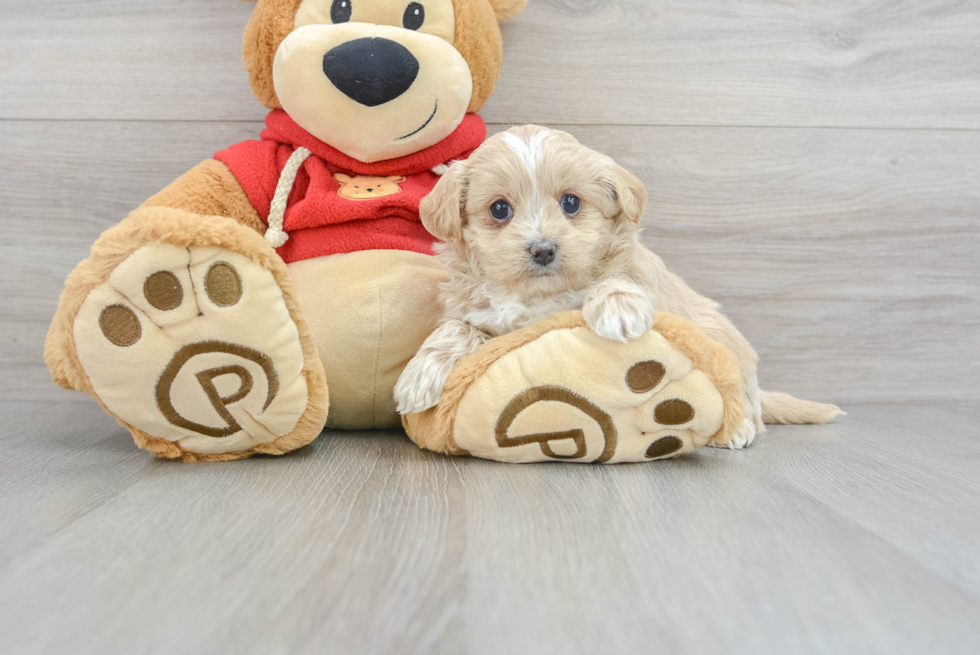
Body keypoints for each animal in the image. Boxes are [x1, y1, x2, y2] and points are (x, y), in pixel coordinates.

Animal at [394, 125, 840, 448]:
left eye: (571, 203)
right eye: (499, 209)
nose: (543, 249)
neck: (537, 294)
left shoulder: (630, 275)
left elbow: (614, 279)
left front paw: (618, 310)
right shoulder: (477, 311)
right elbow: (456, 328)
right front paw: (419, 376)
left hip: (729, 348)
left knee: (746, 402)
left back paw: (741, 429)